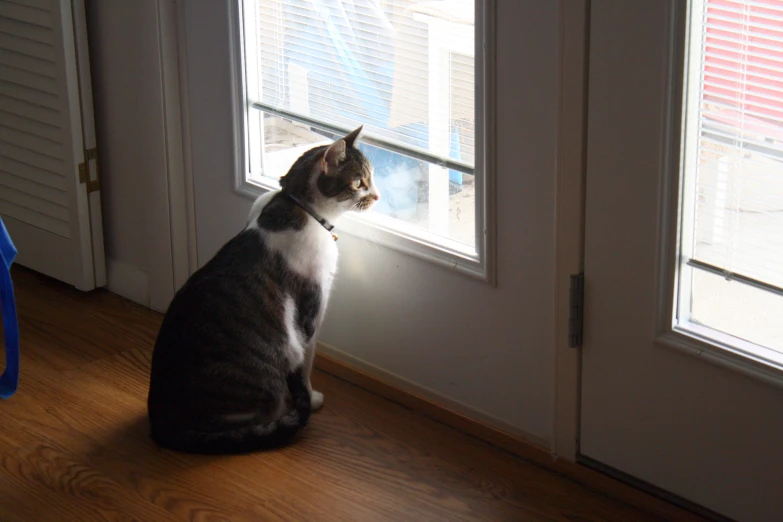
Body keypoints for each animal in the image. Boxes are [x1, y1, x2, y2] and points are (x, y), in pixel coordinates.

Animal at [149, 126, 382, 450]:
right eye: (359, 182)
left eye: (370, 178)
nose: (377, 195)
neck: (300, 209)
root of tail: (159, 421)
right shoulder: (311, 311)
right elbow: (306, 365)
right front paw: (312, 398)